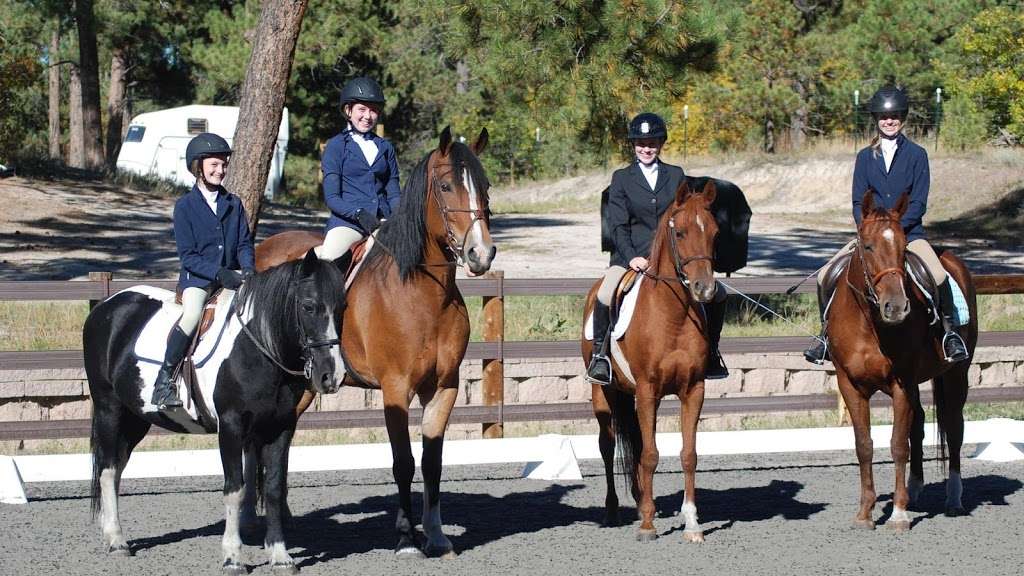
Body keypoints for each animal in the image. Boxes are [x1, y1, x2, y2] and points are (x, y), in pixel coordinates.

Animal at [84, 249, 348, 569]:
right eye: (308, 306)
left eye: (343, 307)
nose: (332, 376)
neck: (256, 347)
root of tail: (106, 306)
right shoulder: (231, 426)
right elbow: (235, 488)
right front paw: (233, 556)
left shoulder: (281, 426)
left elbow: (273, 488)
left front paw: (280, 556)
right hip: (109, 408)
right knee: (108, 470)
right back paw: (116, 540)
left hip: (137, 416)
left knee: (117, 467)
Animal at [256, 126, 495, 557]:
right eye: (446, 186)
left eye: (484, 187)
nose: (481, 254)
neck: (423, 292)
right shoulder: (395, 388)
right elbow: (403, 461)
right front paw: (406, 539)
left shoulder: (444, 387)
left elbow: (431, 462)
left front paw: (436, 536)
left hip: (302, 387)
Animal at [585, 178, 720, 537]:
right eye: (681, 232)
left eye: (715, 232)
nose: (704, 289)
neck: (673, 315)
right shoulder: (648, 390)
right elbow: (649, 454)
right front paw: (647, 524)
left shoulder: (693, 390)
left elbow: (688, 454)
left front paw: (692, 523)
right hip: (604, 392)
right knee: (607, 445)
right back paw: (614, 510)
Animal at [827, 192, 978, 528]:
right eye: (867, 245)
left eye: (903, 245)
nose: (896, 307)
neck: (870, 323)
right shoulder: (850, 385)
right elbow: (864, 445)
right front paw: (865, 513)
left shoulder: (901, 383)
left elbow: (898, 445)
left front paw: (898, 514)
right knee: (919, 424)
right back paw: (916, 490)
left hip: (956, 374)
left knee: (954, 427)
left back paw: (954, 499)